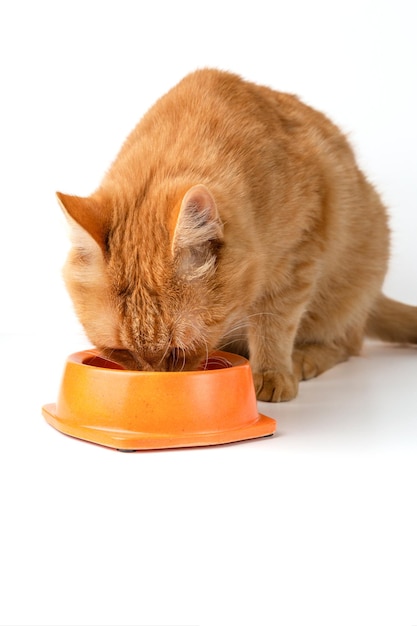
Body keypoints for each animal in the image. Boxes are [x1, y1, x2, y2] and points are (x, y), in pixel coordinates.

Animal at [57, 68, 416, 400]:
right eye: (121, 352)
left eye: (179, 351)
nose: (156, 385)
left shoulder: (298, 256)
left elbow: (275, 322)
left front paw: (271, 372)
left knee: (347, 343)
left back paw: (304, 358)